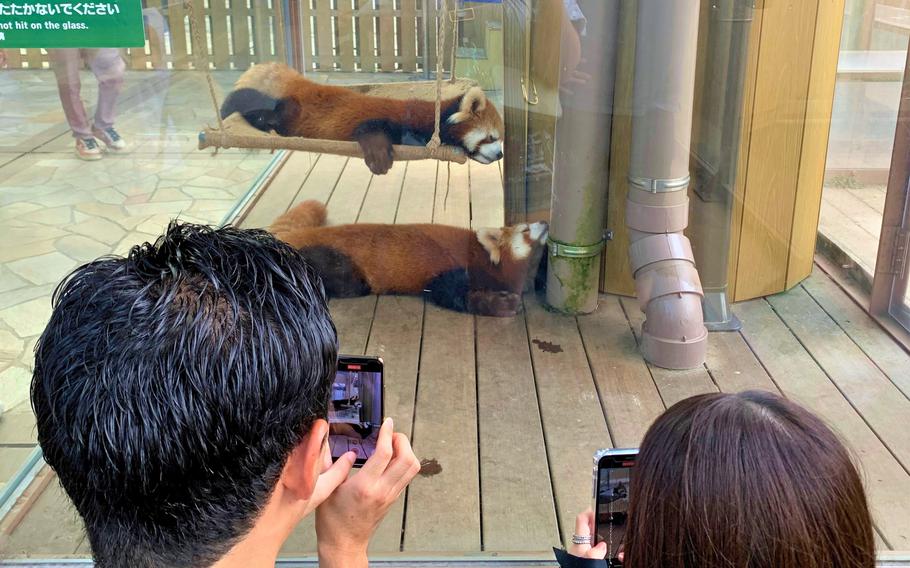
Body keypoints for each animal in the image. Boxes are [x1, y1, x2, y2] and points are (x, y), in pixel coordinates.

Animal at [221, 62, 506, 175]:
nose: (501, 154)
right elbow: (370, 127)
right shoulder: (405, 118)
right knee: (262, 112)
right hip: (291, 111)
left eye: (501, 139)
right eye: (491, 137)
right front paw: (379, 156)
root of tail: (303, 84)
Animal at [272, 202, 548, 318]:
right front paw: (503, 305)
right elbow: (452, 293)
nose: (545, 222)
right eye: (526, 229)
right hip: (329, 257)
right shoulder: (451, 271)